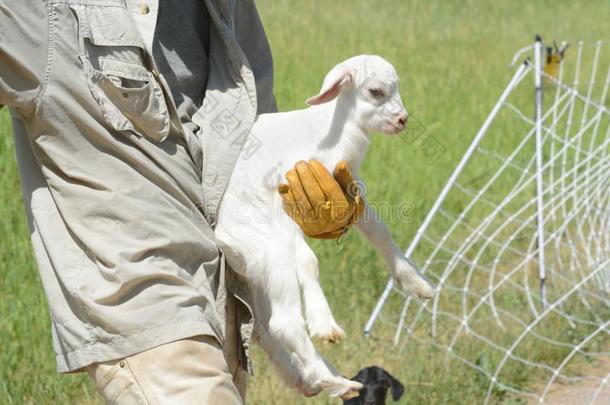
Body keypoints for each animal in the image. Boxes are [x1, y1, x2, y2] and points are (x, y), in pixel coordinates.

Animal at [214, 54, 432, 398]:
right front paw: (322, 322)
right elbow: (309, 261)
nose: (402, 120)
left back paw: (327, 381)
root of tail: (222, 235)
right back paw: (329, 366)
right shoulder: (285, 198)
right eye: (375, 91)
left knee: (263, 327)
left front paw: (417, 284)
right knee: (283, 323)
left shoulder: (347, 191)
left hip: (256, 270)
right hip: (268, 249)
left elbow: (379, 231)